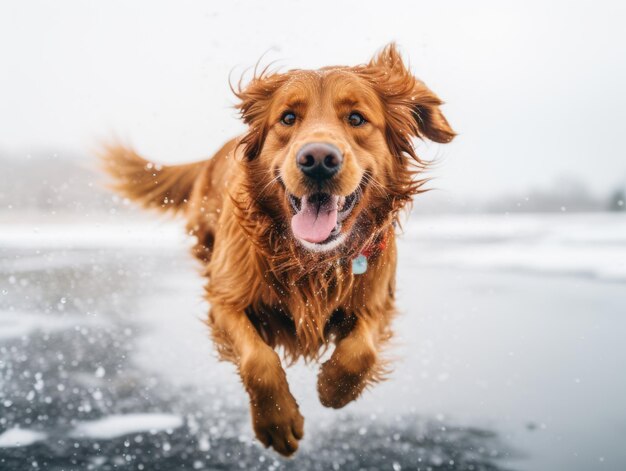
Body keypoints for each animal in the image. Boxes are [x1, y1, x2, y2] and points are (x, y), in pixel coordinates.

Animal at [102, 44, 454, 458]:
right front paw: (278, 422)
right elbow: (259, 361)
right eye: (287, 118)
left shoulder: (377, 298)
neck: (309, 258)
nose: (318, 159)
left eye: (356, 118)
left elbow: (361, 351)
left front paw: (333, 388)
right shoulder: (225, 298)